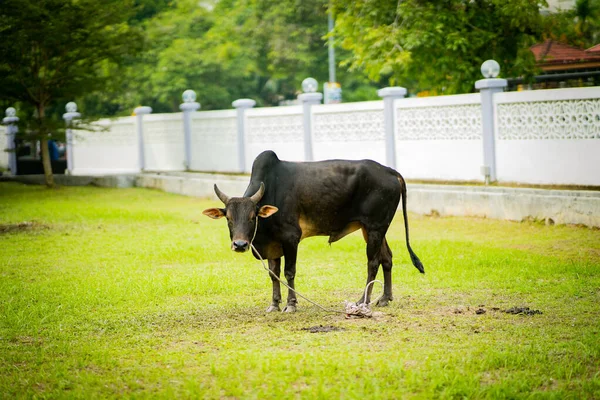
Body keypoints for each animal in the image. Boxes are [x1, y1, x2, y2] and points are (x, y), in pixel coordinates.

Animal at [204, 150, 424, 312]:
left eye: (252, 217)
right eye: (229, 219)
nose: (240, 245)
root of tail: (390, 171)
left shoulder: (291, 238)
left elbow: (289, 272)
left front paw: (291, 305)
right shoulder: (273, 245)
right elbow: (274, 274)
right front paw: (274, 304)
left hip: (375, 228)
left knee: (373, 263)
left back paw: (363, 301)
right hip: (372, 229)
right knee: (387, 258)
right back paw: (385, 298)